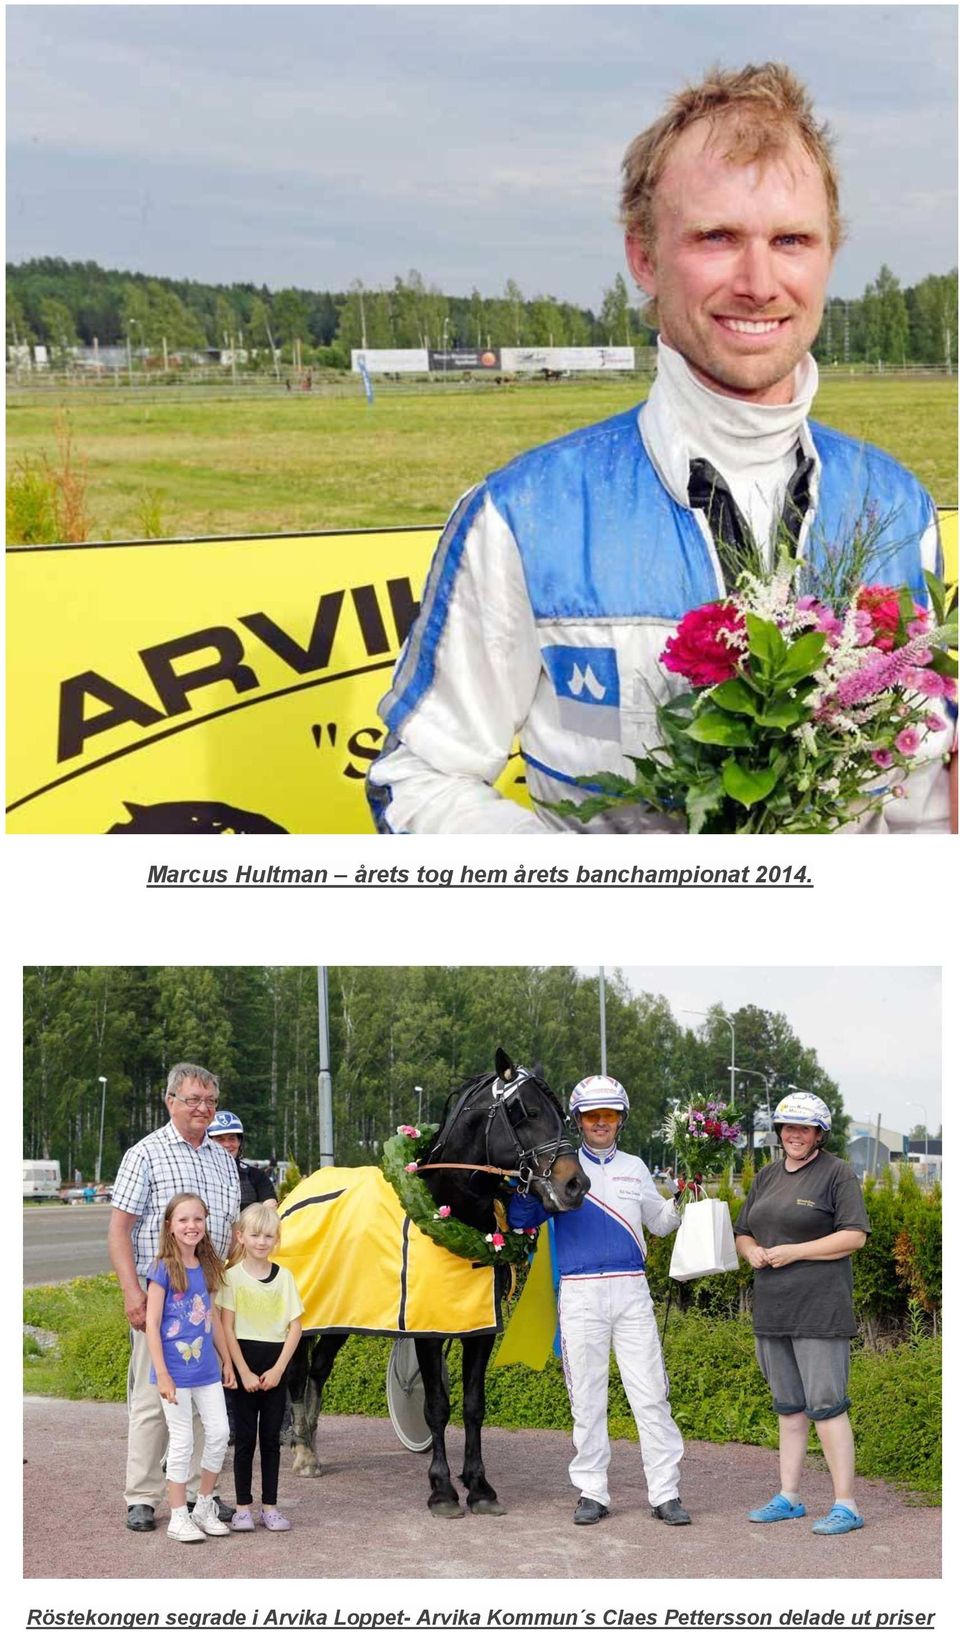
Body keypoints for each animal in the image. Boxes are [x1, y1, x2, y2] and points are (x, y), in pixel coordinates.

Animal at [280, 1051, 587, 1521]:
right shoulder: (427, 1328)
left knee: (319, 1369)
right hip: (308, 1313)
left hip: (341, 1313)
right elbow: (436, 1406)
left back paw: (311, 1442)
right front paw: (442, 1488)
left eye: (563, 1115)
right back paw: (302, 1451)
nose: (576, 1184)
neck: (450, 1209)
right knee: (298, 1372)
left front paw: (479, 1486)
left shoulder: (480, 1328)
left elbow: (474, 1405)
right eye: (525, 1112)